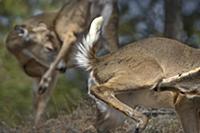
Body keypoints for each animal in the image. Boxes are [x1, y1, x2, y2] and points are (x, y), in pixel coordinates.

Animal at [71, 16, 200, 132]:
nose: (161, 86)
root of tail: (98, 61)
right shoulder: (183, 104)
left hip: (114, 112)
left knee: (96, 126)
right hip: (149, 73)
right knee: (99, 89)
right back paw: (142, 122)